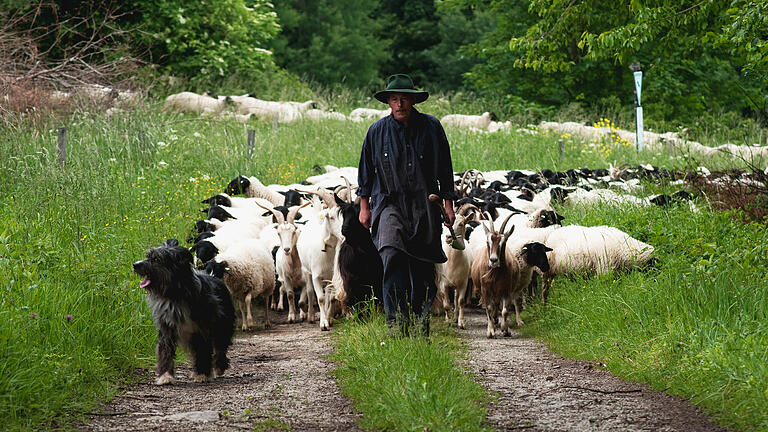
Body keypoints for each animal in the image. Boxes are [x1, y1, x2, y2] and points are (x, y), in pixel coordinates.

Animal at [133, 240, 234, 384]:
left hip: (223, 325)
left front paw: (202, 374)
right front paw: (165, 376)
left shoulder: (201, 329)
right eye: (148, 256)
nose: (135, 265)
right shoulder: (167, 328)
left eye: (156, 259)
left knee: (220, 348)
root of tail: (214, 276)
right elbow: (166, 351)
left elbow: (204, 351)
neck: (175, 295)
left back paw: (219, 367)